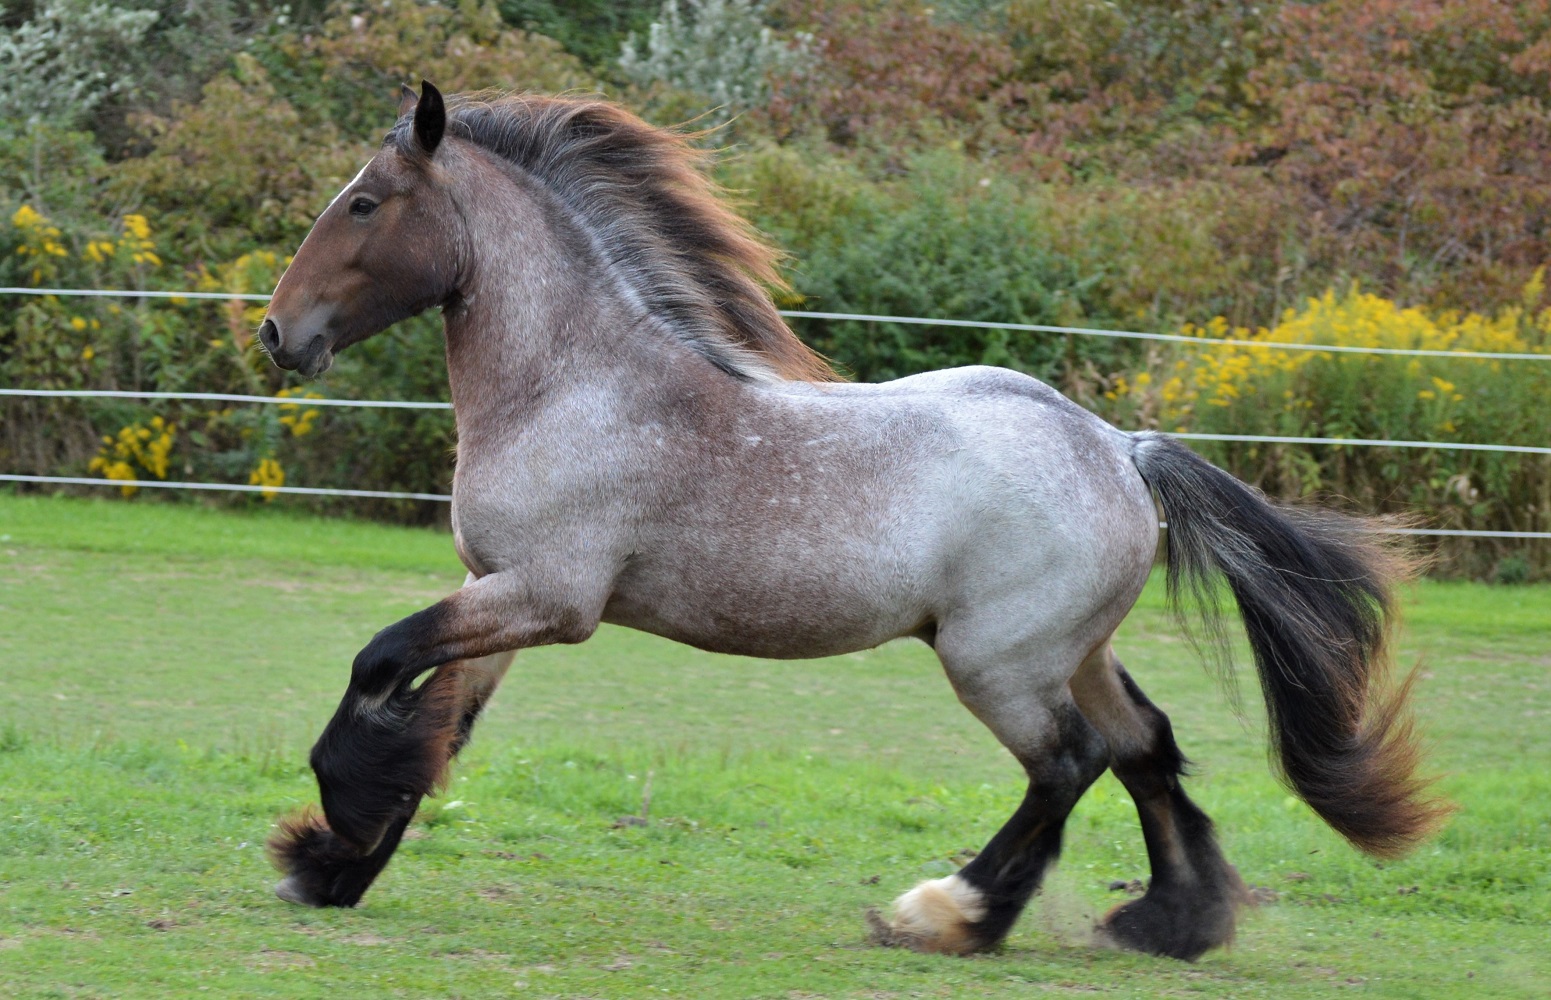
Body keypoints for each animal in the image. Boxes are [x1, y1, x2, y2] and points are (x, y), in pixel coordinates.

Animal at [259, 81, 1448, 960]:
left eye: (365, 202)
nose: (278, 333)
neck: (577, 383)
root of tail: (1119, 450)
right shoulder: (495, 591)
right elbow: (437, 726)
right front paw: (336, 865)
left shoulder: (548, 598)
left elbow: (380, 666)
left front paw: (333, 826)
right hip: (1071, 649)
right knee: (1142, 747)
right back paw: (1170, 924)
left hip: (995, 662)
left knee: (1067, 764)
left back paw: (950, 916)